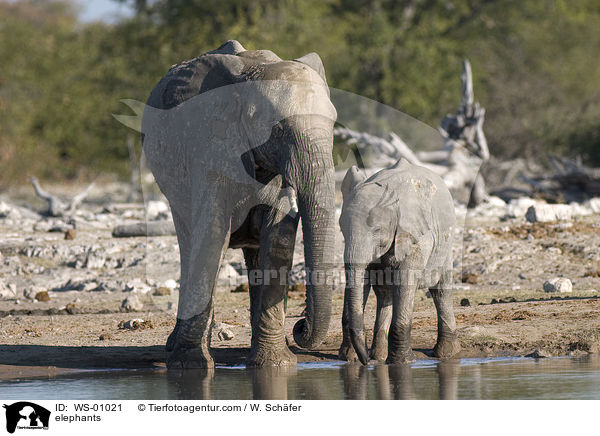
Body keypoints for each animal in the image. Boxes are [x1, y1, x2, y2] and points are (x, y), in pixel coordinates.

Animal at [142, 40, 338, 368]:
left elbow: (278, 238)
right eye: (278, 129)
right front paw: (191, 365)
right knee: (189, 244)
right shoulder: (211, 148)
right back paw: (175, 346)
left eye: (334, 127)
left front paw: (275, 365)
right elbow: (213, 233)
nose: (300, 327)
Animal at [340, 159, 462, 364]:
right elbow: (362, 281)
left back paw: (447, 355)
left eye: (377, 230)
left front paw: (403, 362)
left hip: (446, 244)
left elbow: (405, 280)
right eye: (341, 230)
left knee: (440, 290)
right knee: (384, 292)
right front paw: (350, 358)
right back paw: (379, 356)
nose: (366, 361)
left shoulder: (417, 235)